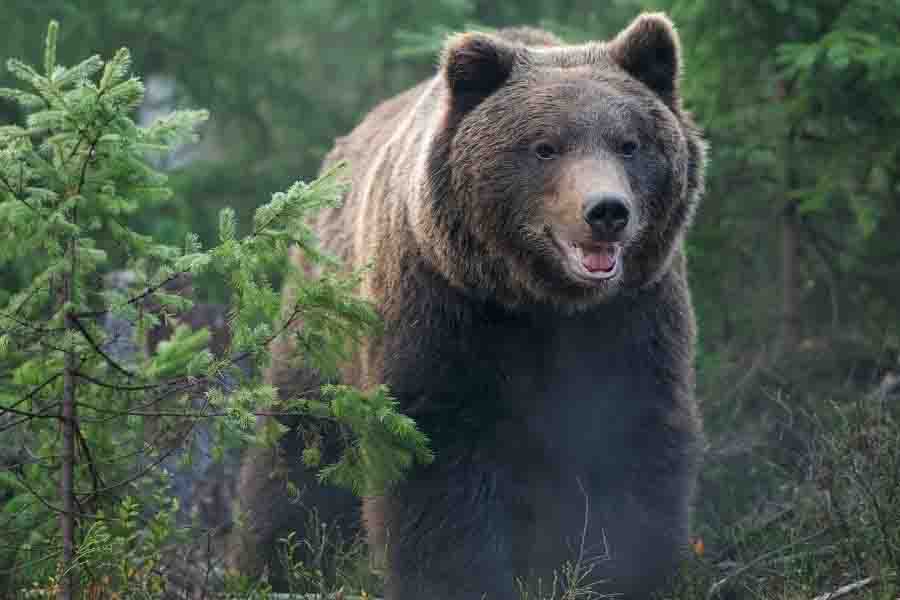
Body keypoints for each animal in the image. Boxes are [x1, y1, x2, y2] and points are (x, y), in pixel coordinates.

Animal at [230, 12, 706, 600]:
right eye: (545, 147)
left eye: (629, 143)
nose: (606, 212)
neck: (544, 302)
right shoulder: (444, 310)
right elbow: (438, 459)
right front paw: (456, 578)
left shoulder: (632, 317)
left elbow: (634, 438)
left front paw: (627, 573)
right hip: (322, 327)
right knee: (295, 450)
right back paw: (269, 563)